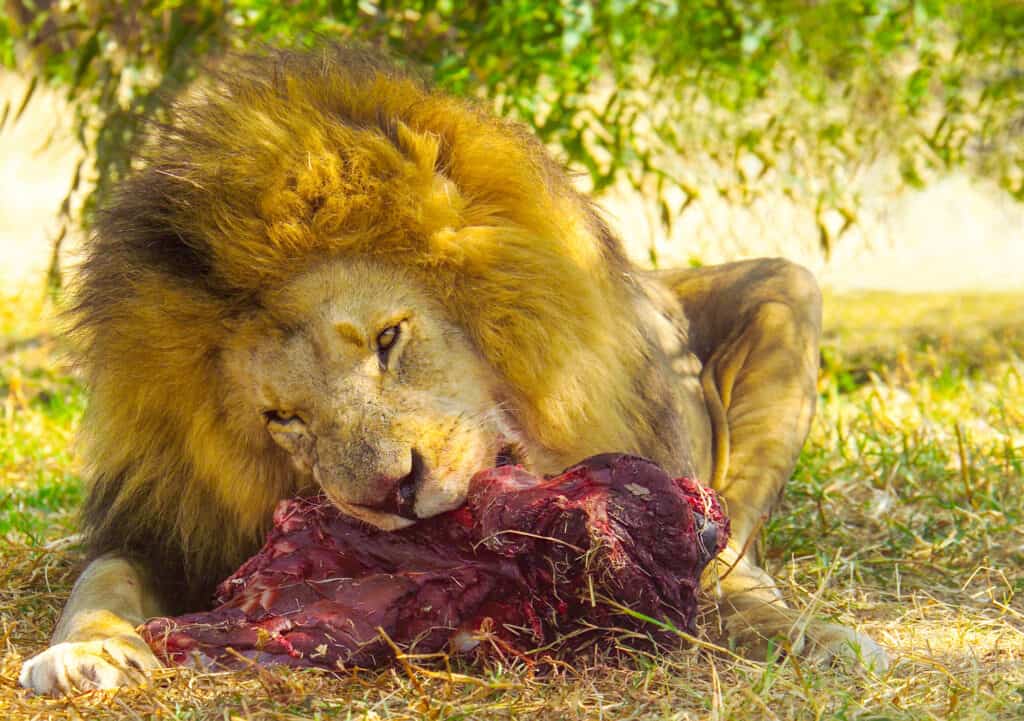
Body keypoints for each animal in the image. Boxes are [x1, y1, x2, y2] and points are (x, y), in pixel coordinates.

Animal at [18, 43, 888, 692]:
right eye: (283, 418)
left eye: (387, 339)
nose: (389, 493)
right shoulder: (167, 527)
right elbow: (102, 576)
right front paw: (84, 649)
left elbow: (722, 565)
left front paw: (805, 632)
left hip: (791, 290)